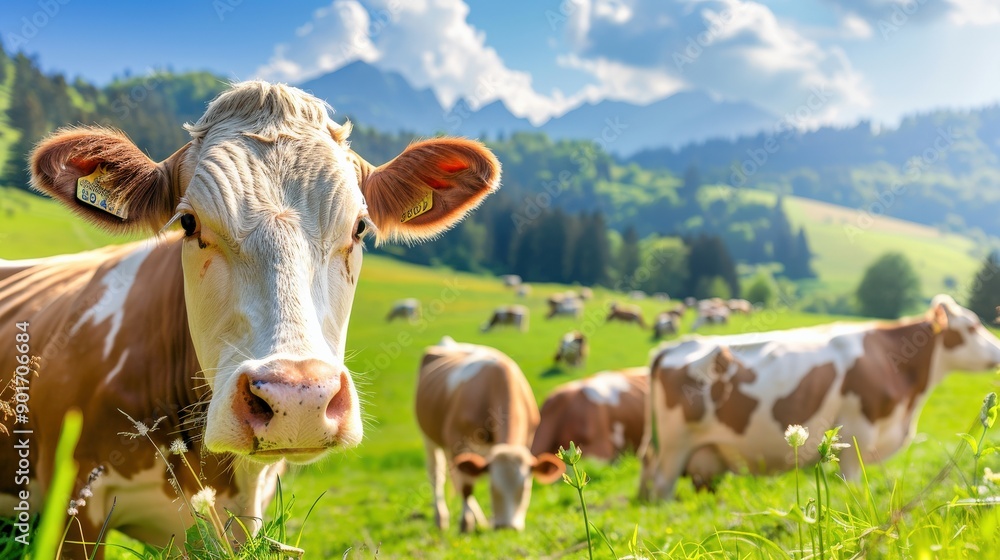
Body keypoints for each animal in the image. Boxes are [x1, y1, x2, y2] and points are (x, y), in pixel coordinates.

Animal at [415, 337, 565, 531]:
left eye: (525, 489)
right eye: (493, 487)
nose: (507, 527)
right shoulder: (458, 440)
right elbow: (466, 487)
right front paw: (466, 524)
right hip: (430, 438)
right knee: (437, 475)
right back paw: (441, 518)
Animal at [638, 295, 1000, 501]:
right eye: (972, 326)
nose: (997, 350)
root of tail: (675, 345)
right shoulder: (857, 433)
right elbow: (852, 484)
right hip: (674, 447)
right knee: (663, 487)